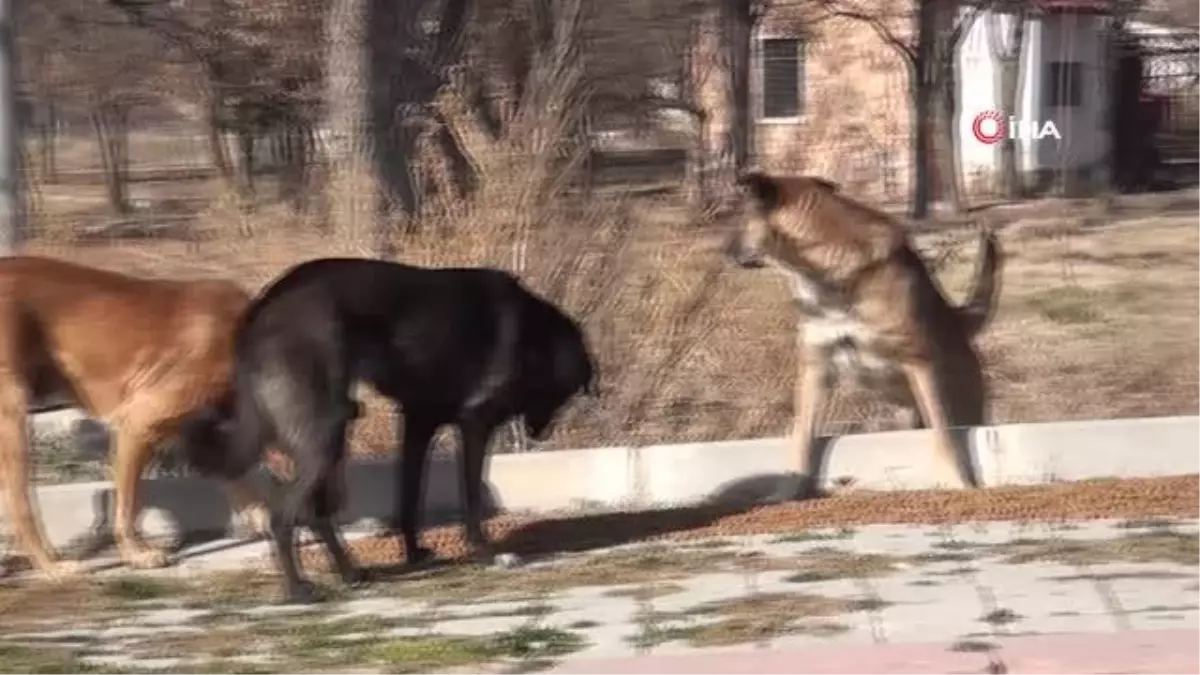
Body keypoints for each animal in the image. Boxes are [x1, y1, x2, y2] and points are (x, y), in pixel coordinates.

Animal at [0, 254, 270, 576]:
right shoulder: (137, 423)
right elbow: (128, 504)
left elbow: (237, 479)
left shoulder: (190, 428)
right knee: (20, 505)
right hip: (14, 411)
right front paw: (137, 554)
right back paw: (53, 567)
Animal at [176, 255, 595, 598]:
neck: (534, 333)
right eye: (563, 393)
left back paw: (350, 574)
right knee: (284, 515)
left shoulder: (418, 422)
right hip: (324, 435)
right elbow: (472, 497)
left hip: (332, 432)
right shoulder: (474, 425)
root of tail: (262, 307)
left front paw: (414, 553)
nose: (541, 434)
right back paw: (298, 590)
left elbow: (408, 497)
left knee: (315, 512)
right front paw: (485, 553)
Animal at [724, 171, 998, 499]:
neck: (828, 274)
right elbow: (801, 436)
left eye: (742, 218)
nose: (725, 251)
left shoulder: (919, 362)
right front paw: (789, 488)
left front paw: (956, 481)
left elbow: (944, 433)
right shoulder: (816, 367)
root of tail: (959, 322)